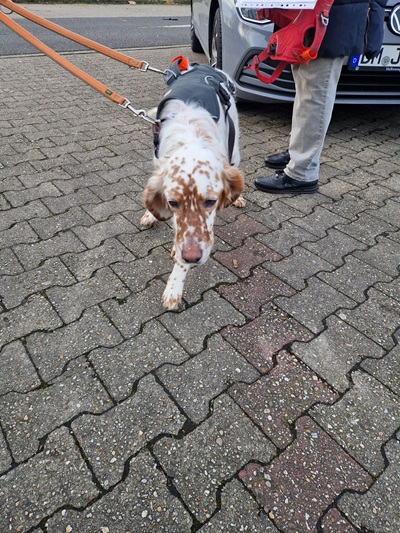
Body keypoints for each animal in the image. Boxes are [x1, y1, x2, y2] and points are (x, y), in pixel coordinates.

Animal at [141, 58, 245, 310]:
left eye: (210, 201)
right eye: (172, 203)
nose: (192, 257)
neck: (191, 135)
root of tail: (207, 66)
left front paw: (174, 286)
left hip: (235, 146)